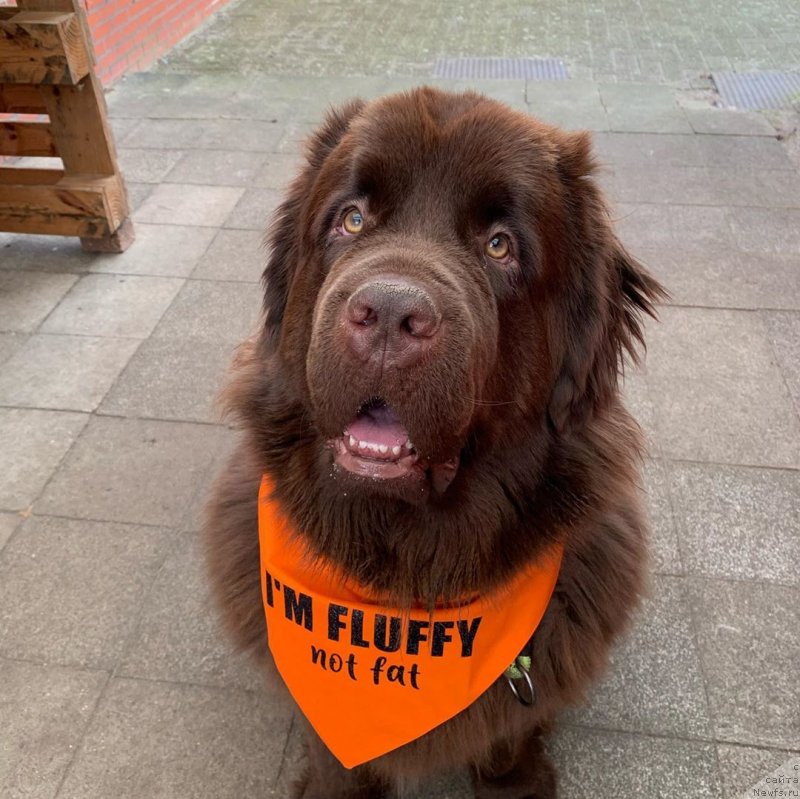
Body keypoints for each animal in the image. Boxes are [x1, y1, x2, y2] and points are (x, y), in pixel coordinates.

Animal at [203, 84, 664, 796]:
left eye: (500, 245)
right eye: (352, 220)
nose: (390, 313)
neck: (404, 578)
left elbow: (506, 735)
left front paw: (515, 782)